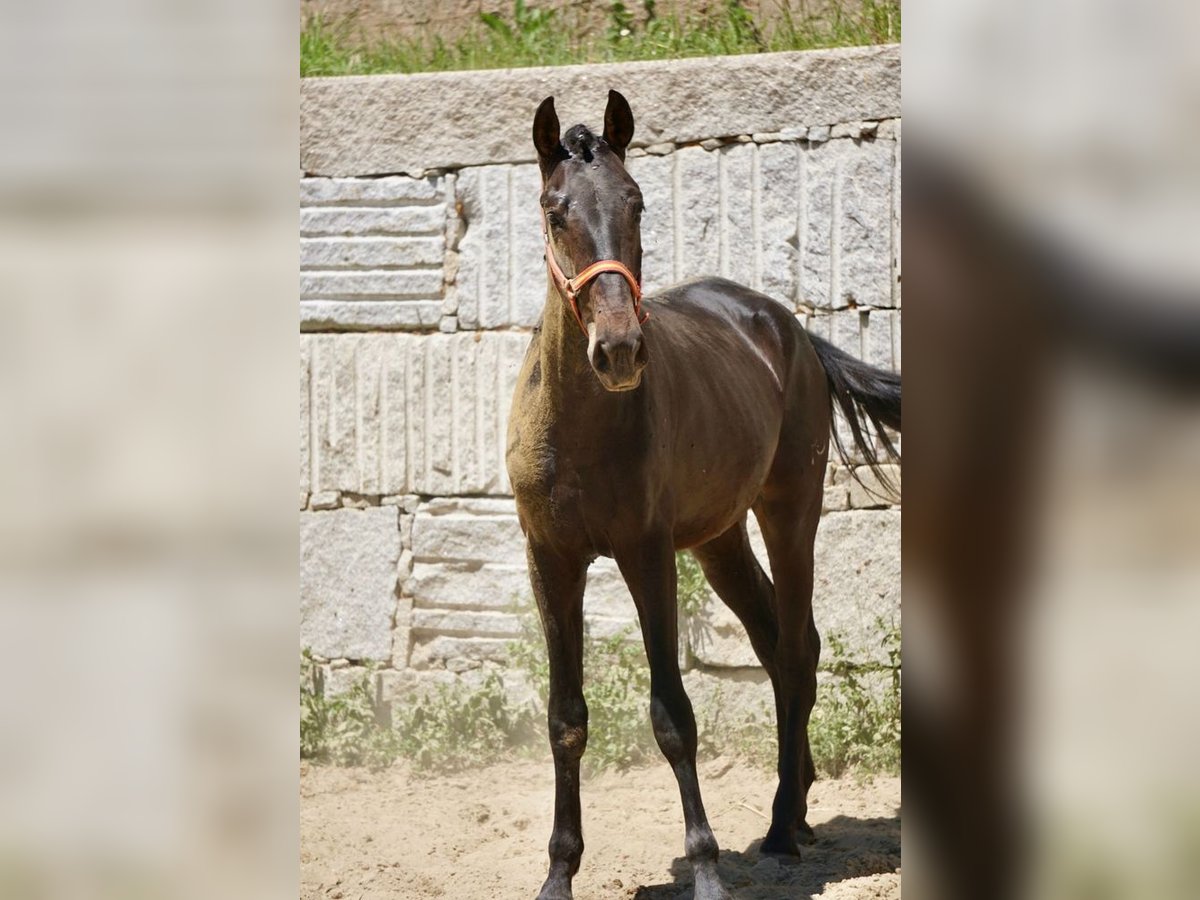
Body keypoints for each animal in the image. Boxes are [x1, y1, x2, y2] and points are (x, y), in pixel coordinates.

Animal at [504, 90, 902, 900]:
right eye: (555, 211)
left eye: (637, 202)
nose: (619, 350)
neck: (580, 426)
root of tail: (790, 330)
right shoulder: (550, 560)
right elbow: (566, 718)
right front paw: (559, 871)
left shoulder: (647, 553)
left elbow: (672, 715)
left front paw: (708, 867)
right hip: (720, 541)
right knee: (778, 646)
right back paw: (797, 809)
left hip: (790, 514)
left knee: (799, 646)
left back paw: (780, 828)